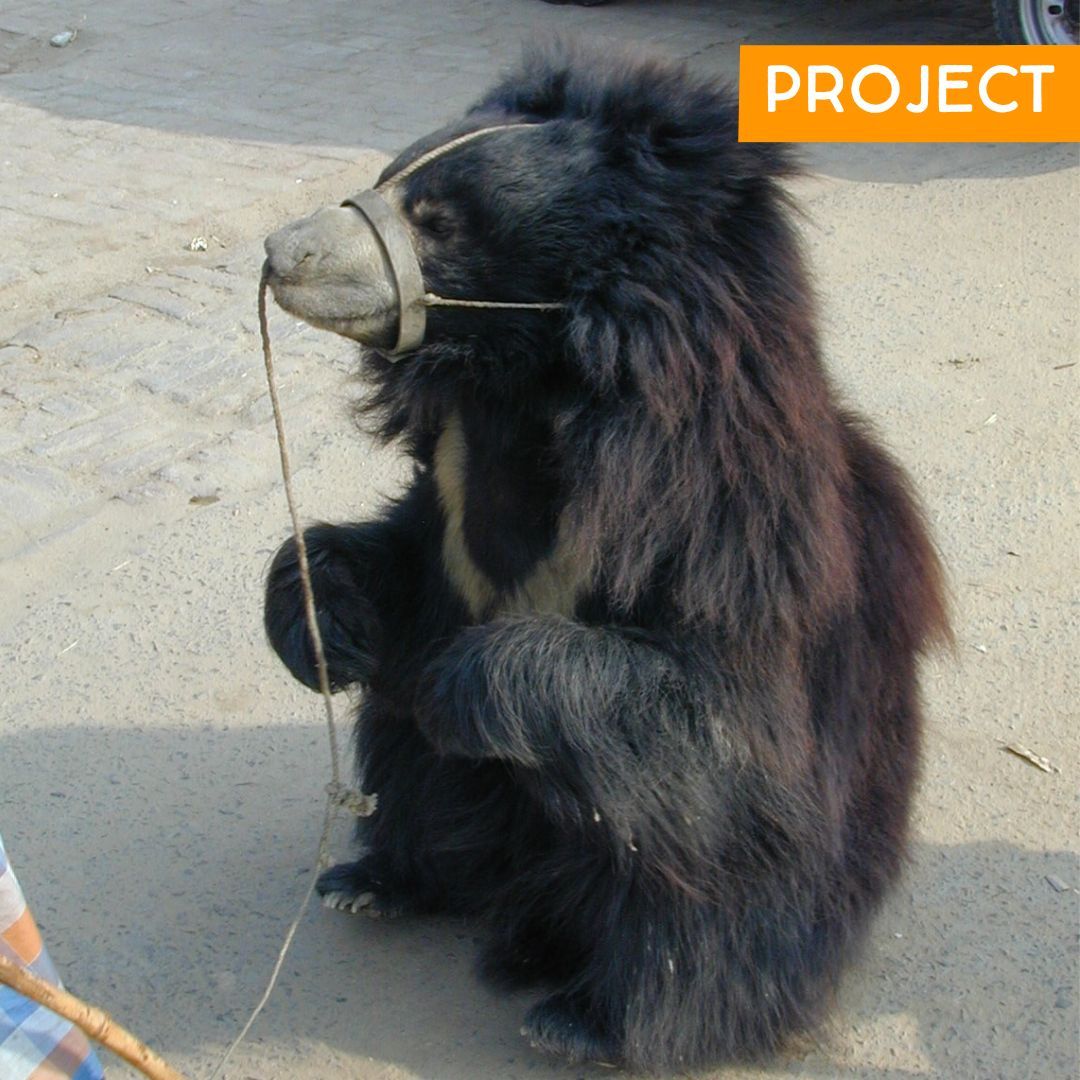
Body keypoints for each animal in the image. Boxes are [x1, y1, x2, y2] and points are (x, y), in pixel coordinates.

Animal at [261, 42, 950, 1073]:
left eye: (437, 219)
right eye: (390, 179)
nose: (278, 252)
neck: (521, 389)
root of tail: (535, 909)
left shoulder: (729, 522)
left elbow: (724, 723)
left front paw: (464, 682)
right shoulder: (451, 499)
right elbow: (398, 569)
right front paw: (318, 620)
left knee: (703, 895)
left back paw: (592, 1019)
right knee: (407, 754)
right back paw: (382, 875)